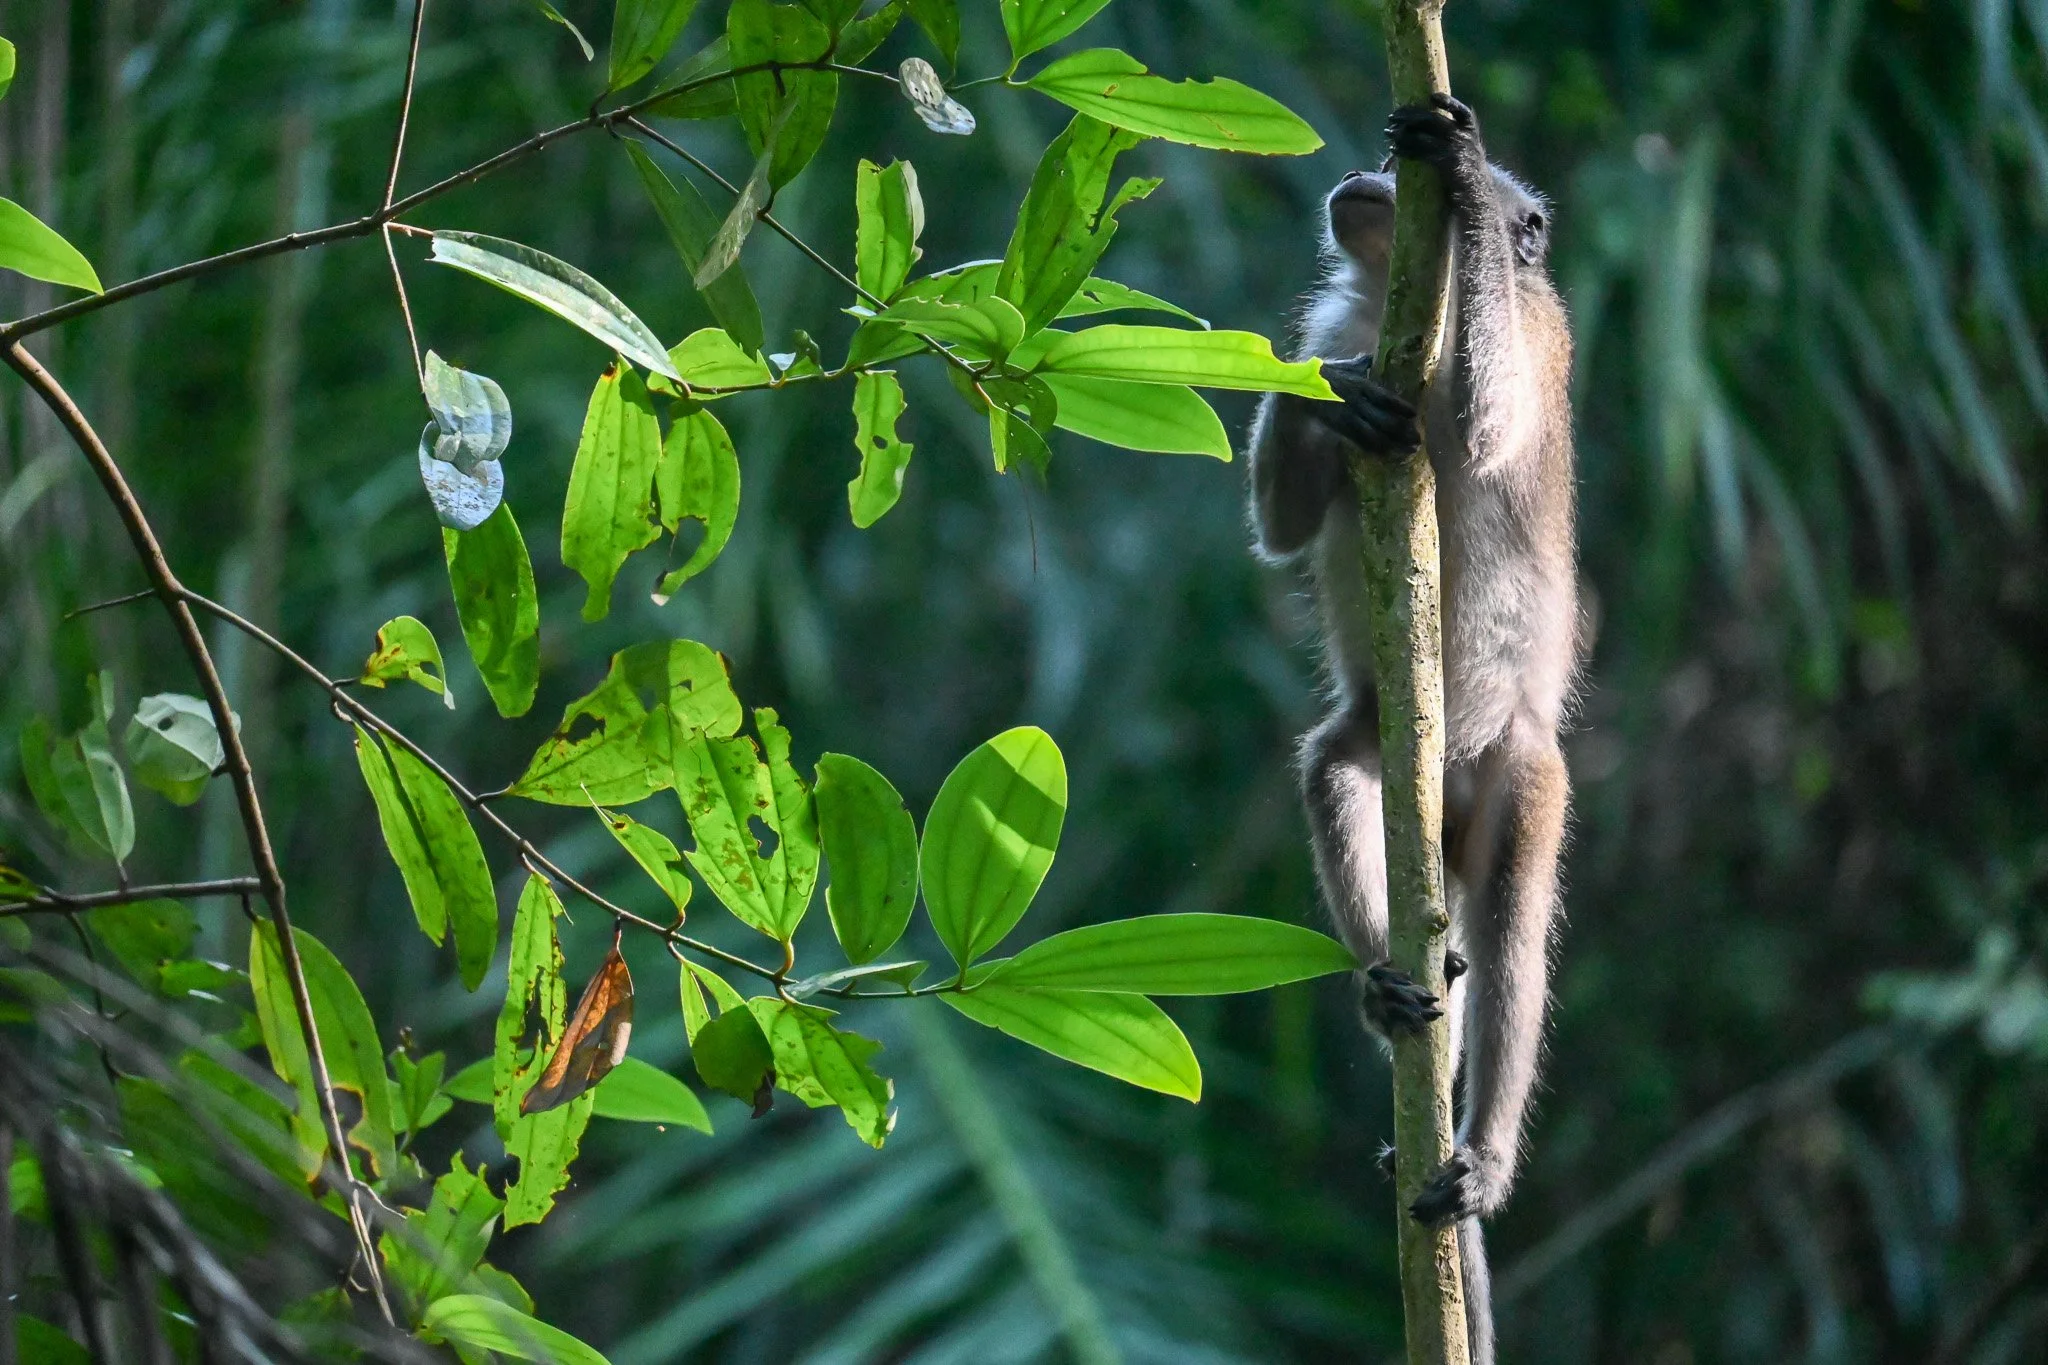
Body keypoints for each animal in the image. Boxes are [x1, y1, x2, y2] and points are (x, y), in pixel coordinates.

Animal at [1246, 94, 1576, 1363]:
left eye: (1394, 176)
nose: (1362, 171)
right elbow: (1288, 529)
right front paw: (1324, 384)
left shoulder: (1532, 331)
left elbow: (1485, 428)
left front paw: (1469, 179)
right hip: (1389, 759)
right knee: (1333, 765)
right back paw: (1388, 985)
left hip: (1523, 771)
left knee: (1515, 941)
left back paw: (1480, 1153)